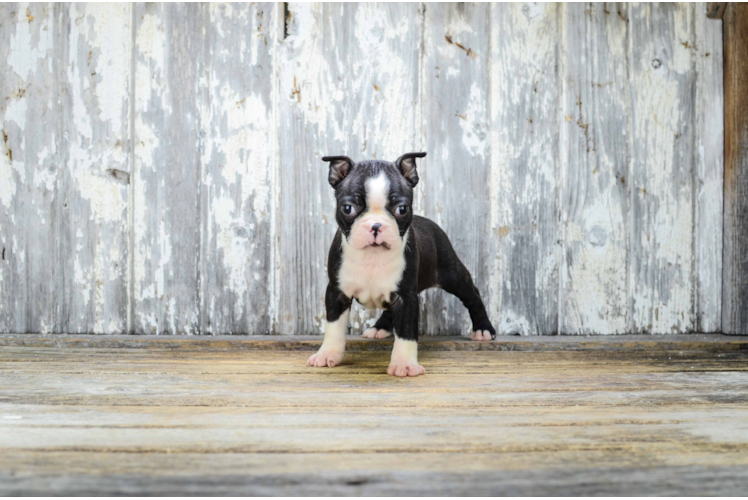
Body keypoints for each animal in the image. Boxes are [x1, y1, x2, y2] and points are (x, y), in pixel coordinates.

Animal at [306, 153, 494, 378]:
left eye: (401, 209)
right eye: (348, 208)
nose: (376, 225)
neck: (372, 258)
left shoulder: (406, 297)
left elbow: (406, 331)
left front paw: (404, 364)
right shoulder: (337, 292)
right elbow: (333, 327)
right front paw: (327, 354)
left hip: (452, 274)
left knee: (472, 295)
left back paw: (483, 329)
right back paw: (379, 328)